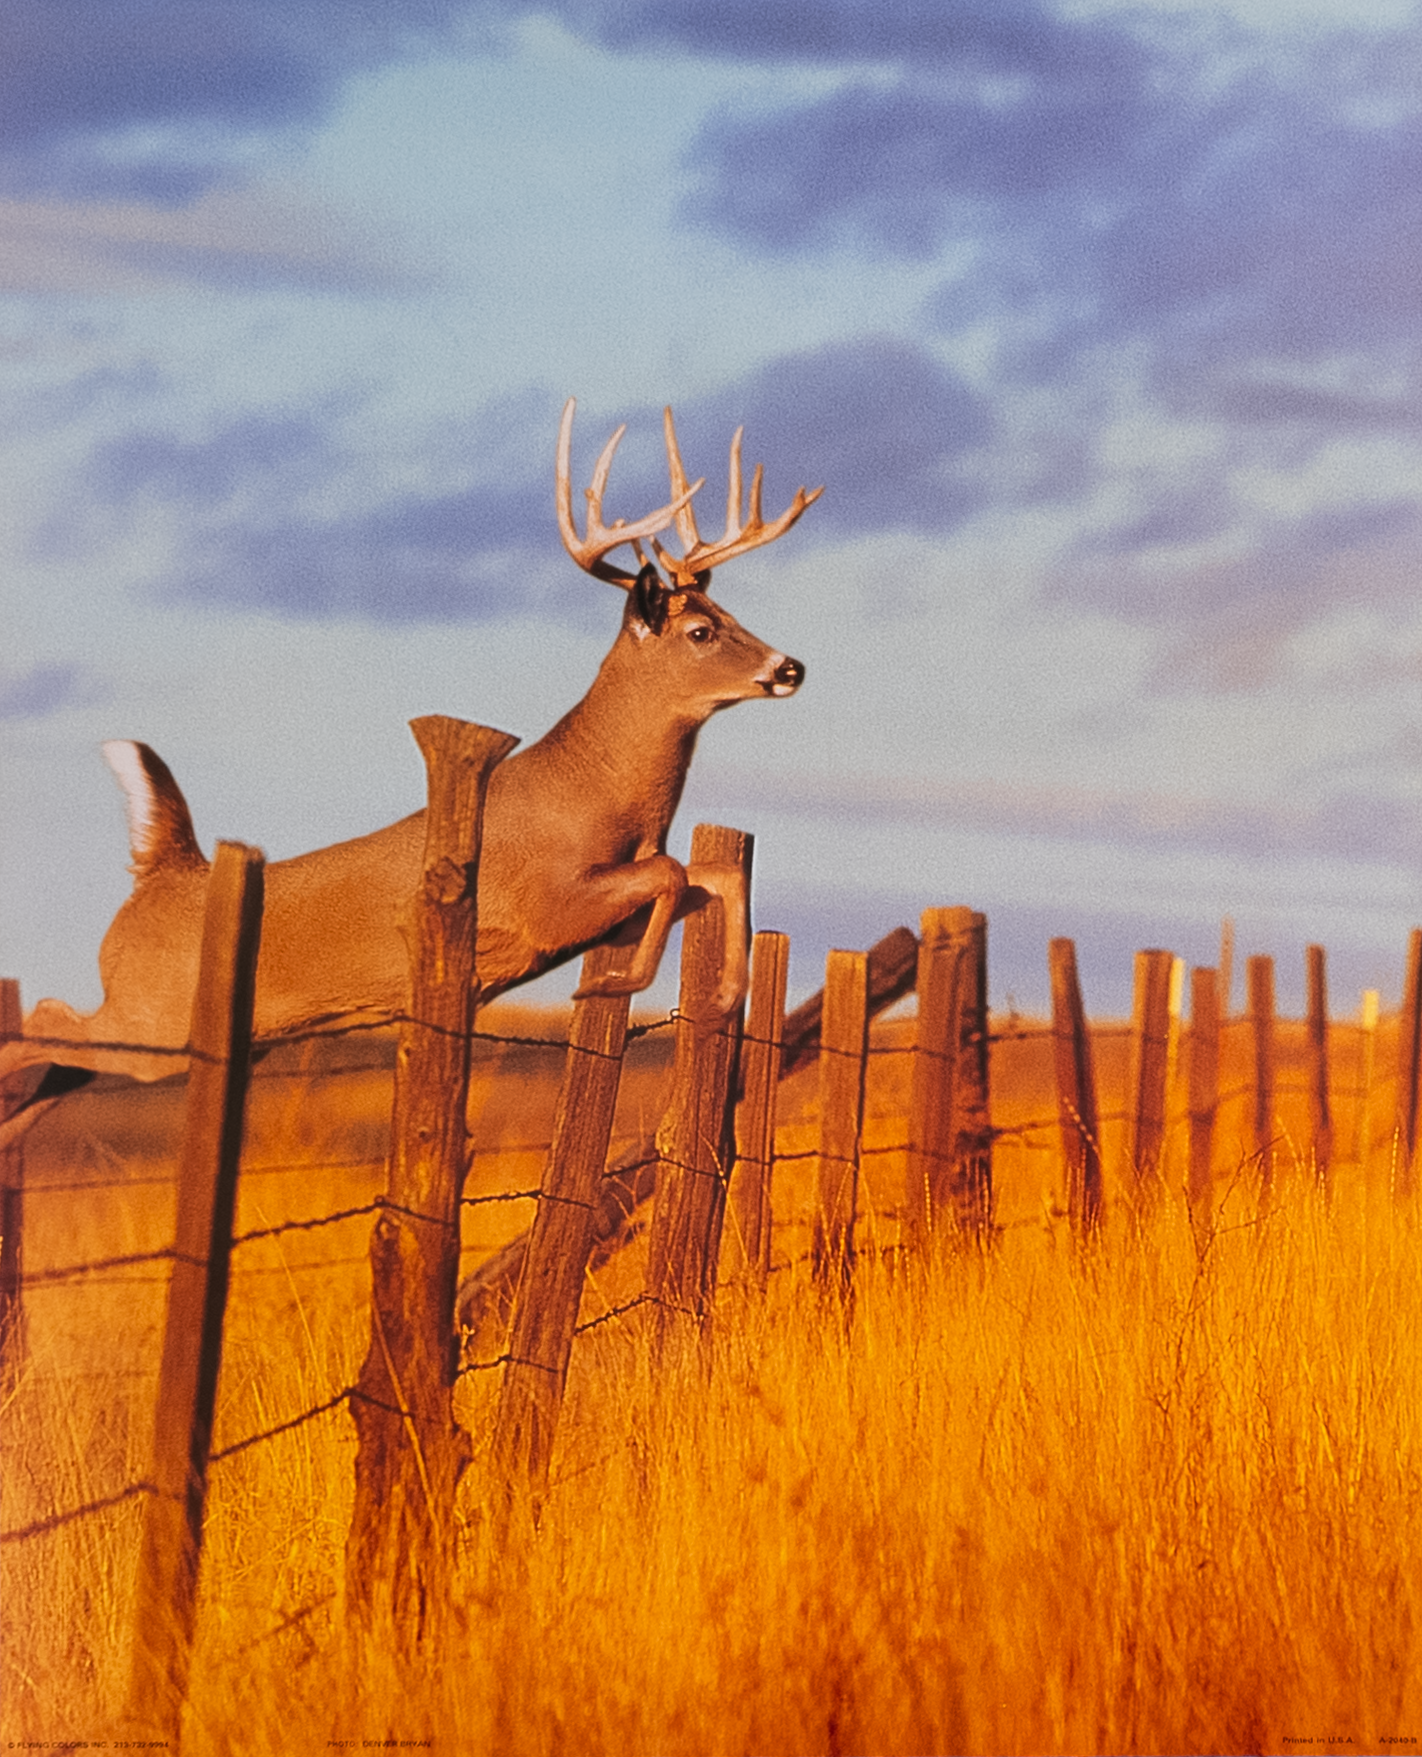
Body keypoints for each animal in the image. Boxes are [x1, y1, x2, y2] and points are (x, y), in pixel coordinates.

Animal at [0, 400, 820, 1137]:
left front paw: (725, 995)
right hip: (156, 1018)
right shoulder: (544, 907)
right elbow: (674, 873)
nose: (791, 666)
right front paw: (623, 984)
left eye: (732, 617)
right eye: (701, 630)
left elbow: (710, 875)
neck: (597, 798)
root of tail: (166, 874)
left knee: (57, 1064)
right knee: (43, 1018)